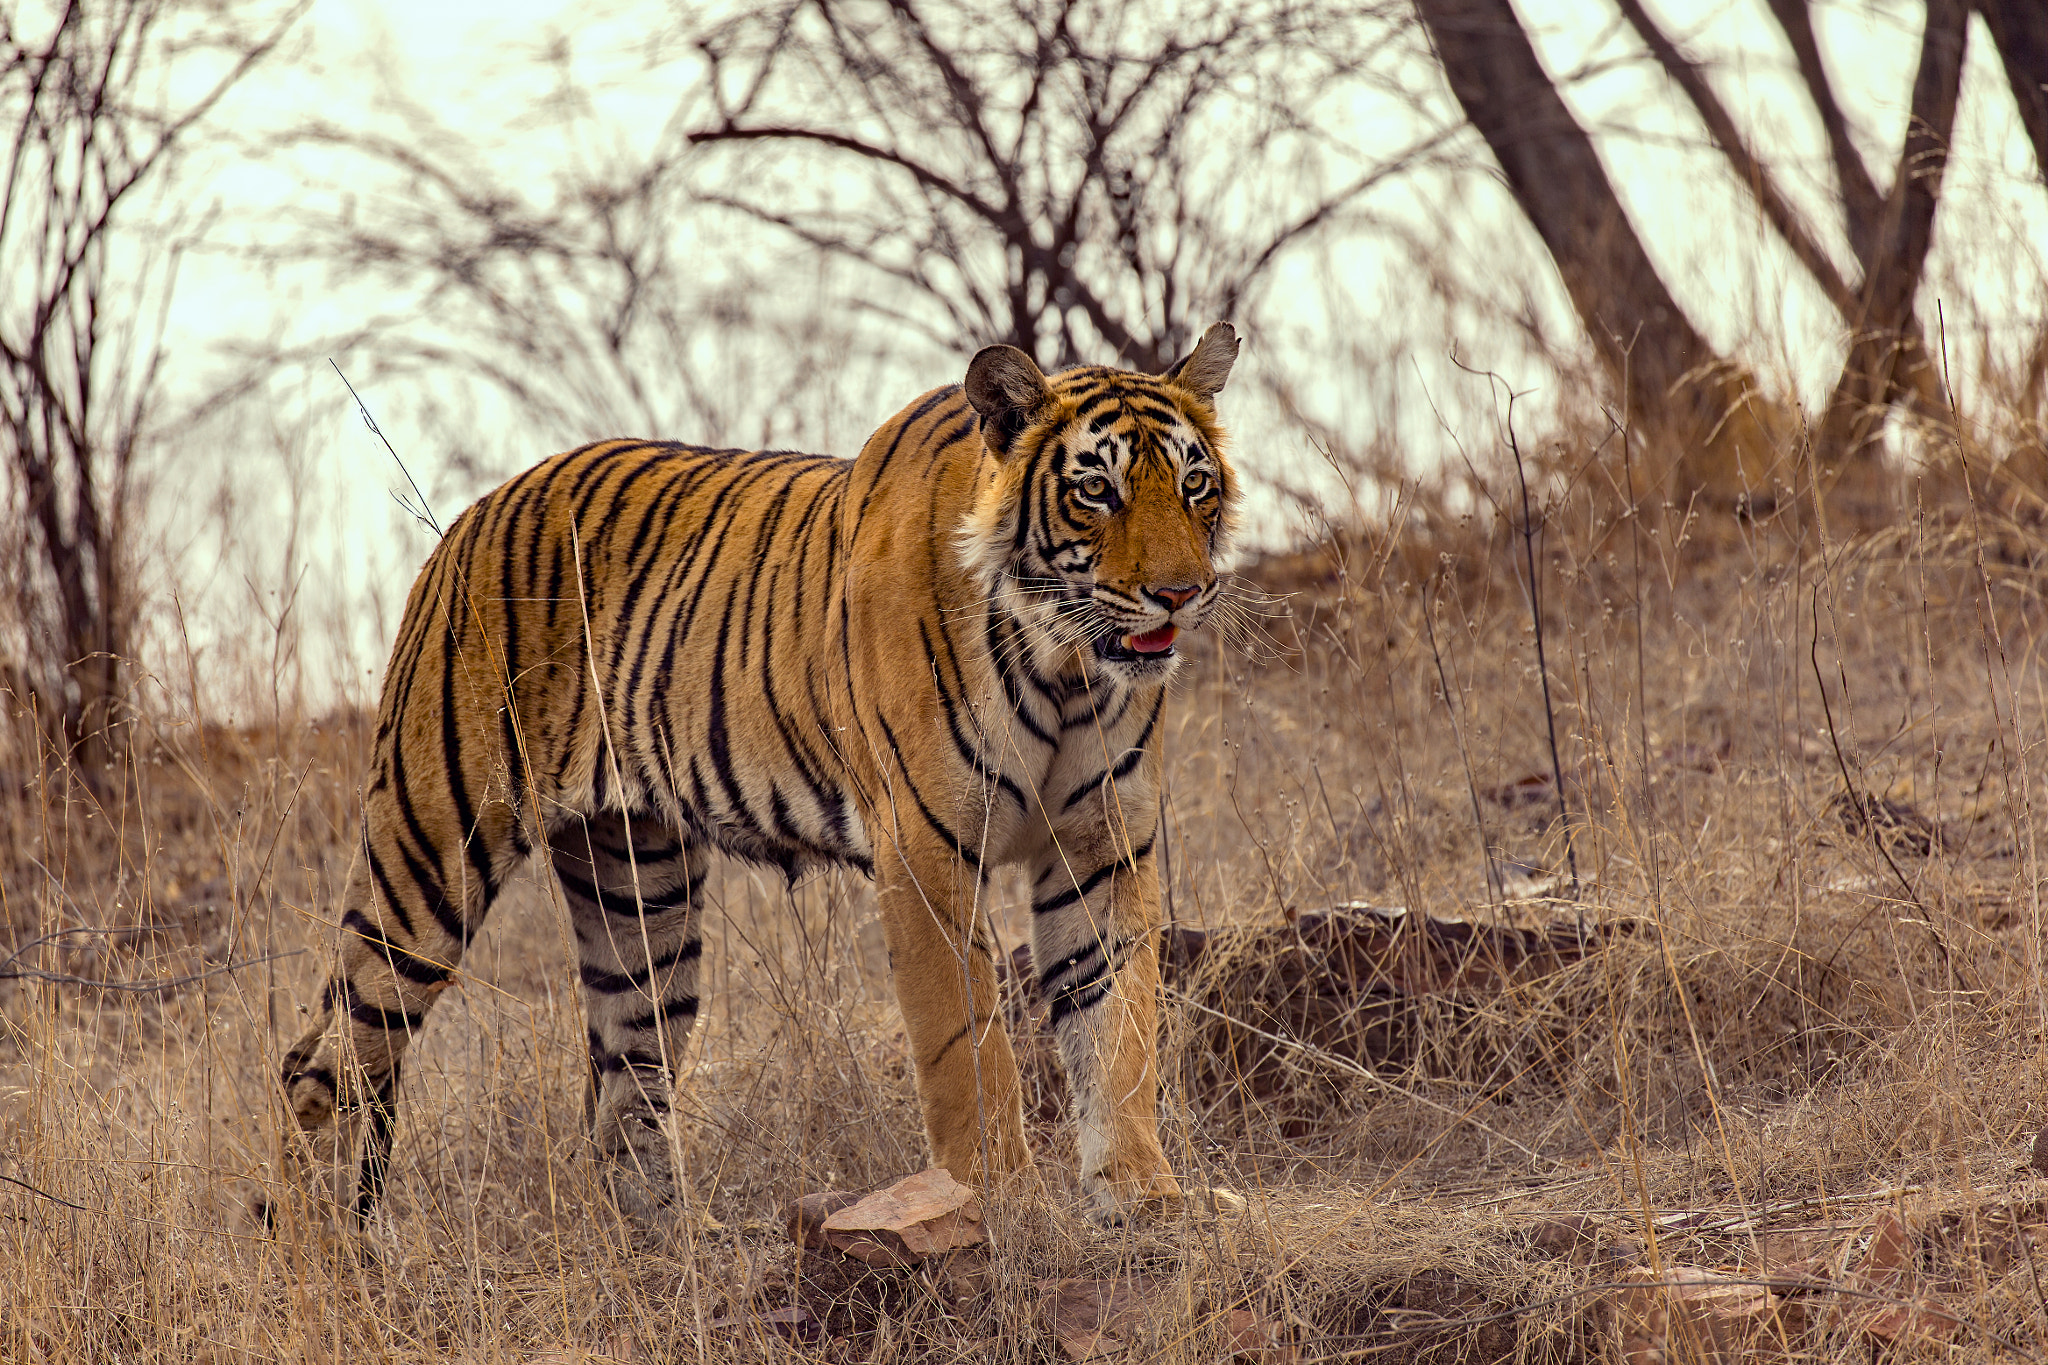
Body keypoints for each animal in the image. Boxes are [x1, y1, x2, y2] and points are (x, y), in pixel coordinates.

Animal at [274, 323, 1242, 1228]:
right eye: (1096, 490)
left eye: (1193, 484)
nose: (1180, 593)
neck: (1067, 665)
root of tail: (476, 513)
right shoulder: (925, 852)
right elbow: (968, 1047)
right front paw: (999, 1199)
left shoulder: (1100, 845)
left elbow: (1118, 1029)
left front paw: (1143, 1194)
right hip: (431, 854)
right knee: (320, 1061)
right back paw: (327, 1257)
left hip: (639, 888)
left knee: (624, 1084)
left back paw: (681, 1246)